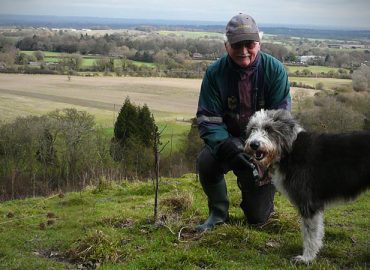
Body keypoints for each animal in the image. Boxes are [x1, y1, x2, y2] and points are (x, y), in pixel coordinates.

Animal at [244, 108, 368, 262]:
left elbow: (310, 233)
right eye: (252, 129)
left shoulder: (308, 203)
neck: (290, 150)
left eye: (269, 129)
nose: (253, 144)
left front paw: (306, 258)